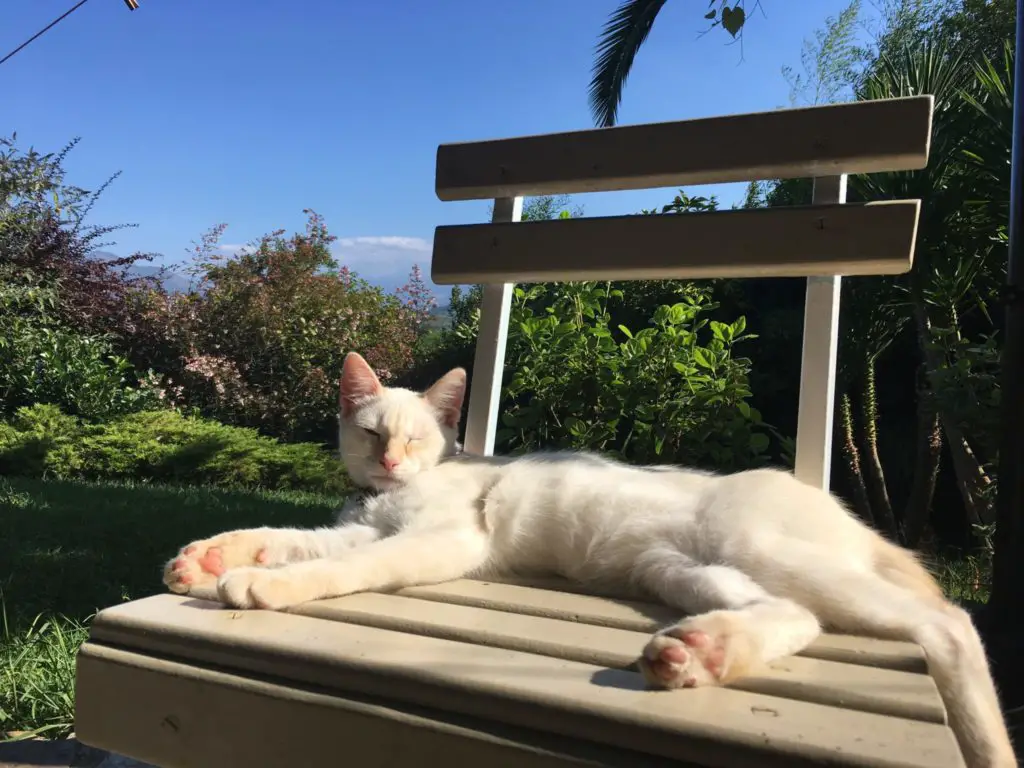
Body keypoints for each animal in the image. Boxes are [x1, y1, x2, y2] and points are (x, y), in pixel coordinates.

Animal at [163, 354, 1011, 768]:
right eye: (373, 434)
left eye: (417, 437)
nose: (394, 464)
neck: (388, 500)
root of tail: (841, 512)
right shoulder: (364, 527)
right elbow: (298, 535)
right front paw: (212, 556)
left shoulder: (442, 540)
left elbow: (335, 567)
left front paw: (260, 583)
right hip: (681, 569)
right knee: (795, 616)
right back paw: (701, 652)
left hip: (761, 546)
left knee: (948, 622)